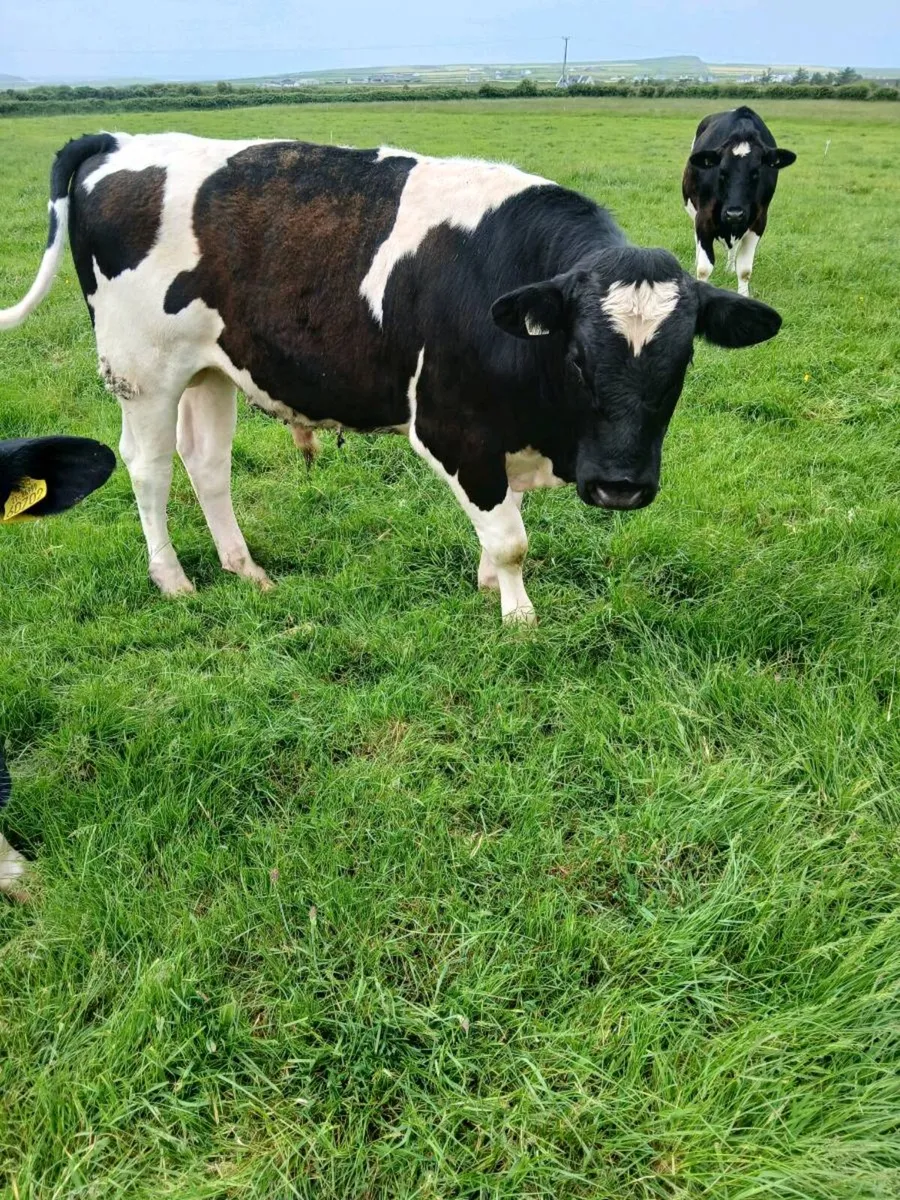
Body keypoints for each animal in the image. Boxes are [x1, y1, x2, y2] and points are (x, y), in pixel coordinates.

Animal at [1, 132, 783, 624]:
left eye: (681, 361)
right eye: (579, 357)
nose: (621, 486)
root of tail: (119, 141)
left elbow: (505, 521)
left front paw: (488, 584)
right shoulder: (450, 426)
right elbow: (511, 538)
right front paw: (517, 613)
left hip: (210, 368)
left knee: (207, 463)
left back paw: (244, 568)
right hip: (143, 370)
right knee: (149, 468)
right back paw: (173, 580)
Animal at [683, 106, 796, 296]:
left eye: (756, 172)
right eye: (722, 171)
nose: (734, 213)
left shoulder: (758, 222)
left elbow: (744, 270)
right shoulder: (703, 218)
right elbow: (704, 269)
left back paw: (729, 268)